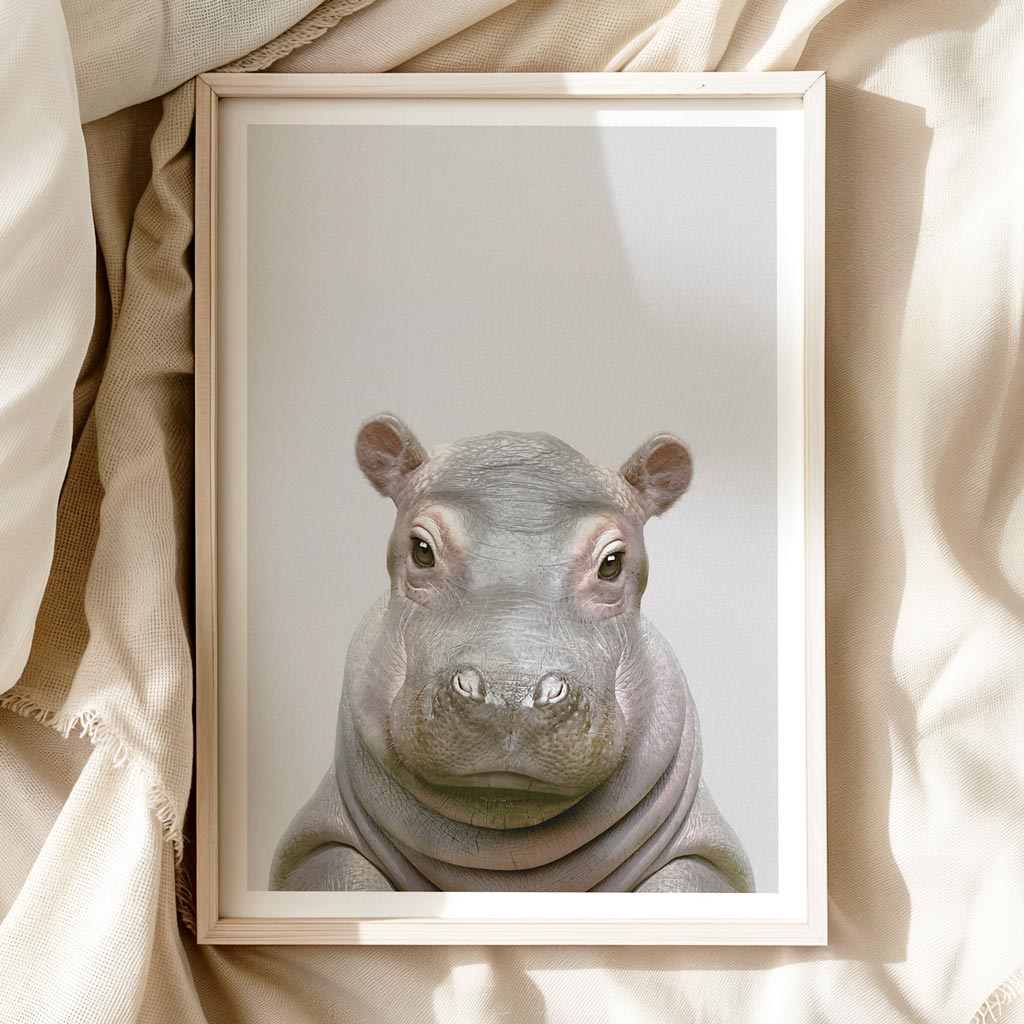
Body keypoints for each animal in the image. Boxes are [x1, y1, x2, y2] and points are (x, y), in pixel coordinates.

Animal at [270, 415, 754, 893]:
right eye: (421, 549)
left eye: (613, 562)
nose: (510, 694)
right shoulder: (314, 839)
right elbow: (346, 876)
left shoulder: (710, 852)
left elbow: (683, 881)